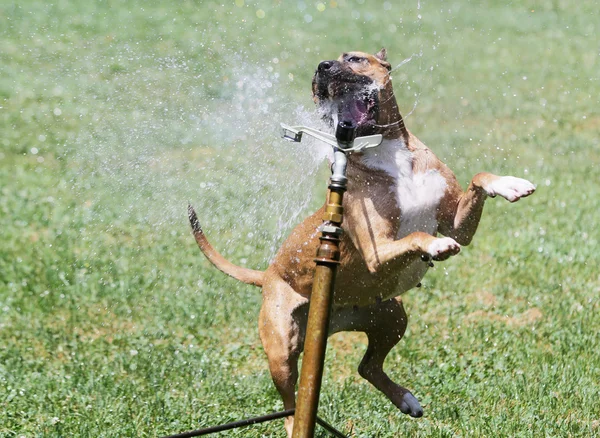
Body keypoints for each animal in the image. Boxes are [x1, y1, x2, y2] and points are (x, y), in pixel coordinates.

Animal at [188, 48, 536, 434]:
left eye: (354, 58)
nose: (322, 67)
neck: (389, 155)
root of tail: (267, 274)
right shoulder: (376, 250)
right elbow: (417, 236)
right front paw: (435, 246)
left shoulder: (456, 223)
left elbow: (478, 178)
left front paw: (508, 184)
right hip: (282, 349)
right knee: (290, 403)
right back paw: (297, 424)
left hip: (392, 317)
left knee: (367, 366)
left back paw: (405, 399)